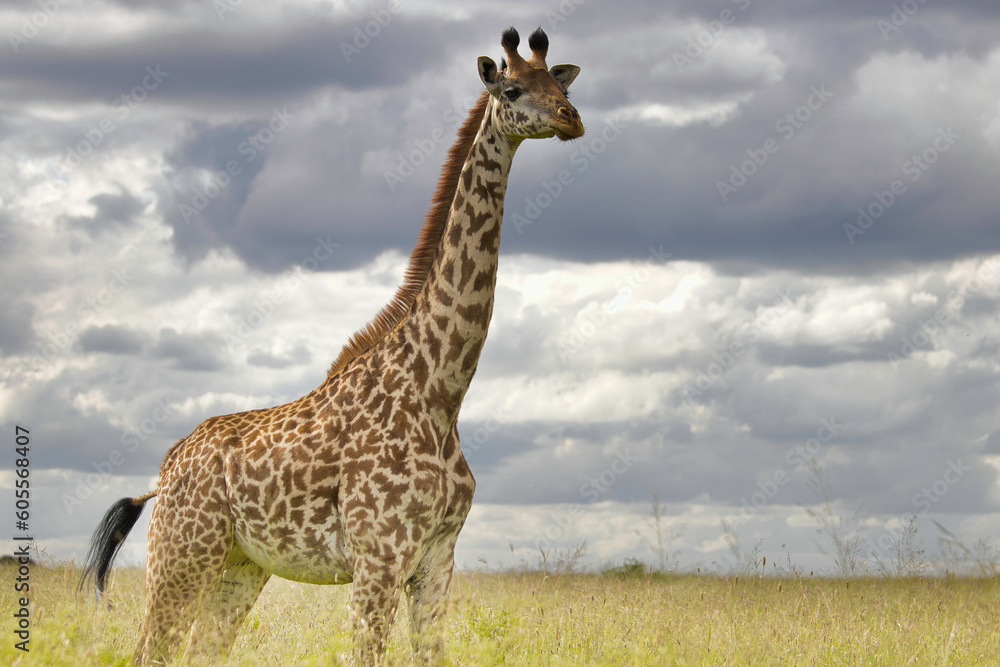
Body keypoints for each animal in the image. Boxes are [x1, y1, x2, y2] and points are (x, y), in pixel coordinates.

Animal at [80, 26, 583, 665]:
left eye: (562, 87)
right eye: (513, 88)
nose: (571, 119)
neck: (440, 392)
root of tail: (164, 471)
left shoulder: (437, 558)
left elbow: (431, 653)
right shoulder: (379, 558)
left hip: (240, 564)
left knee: (200, 650)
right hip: (181, 555)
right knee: (151, 648)